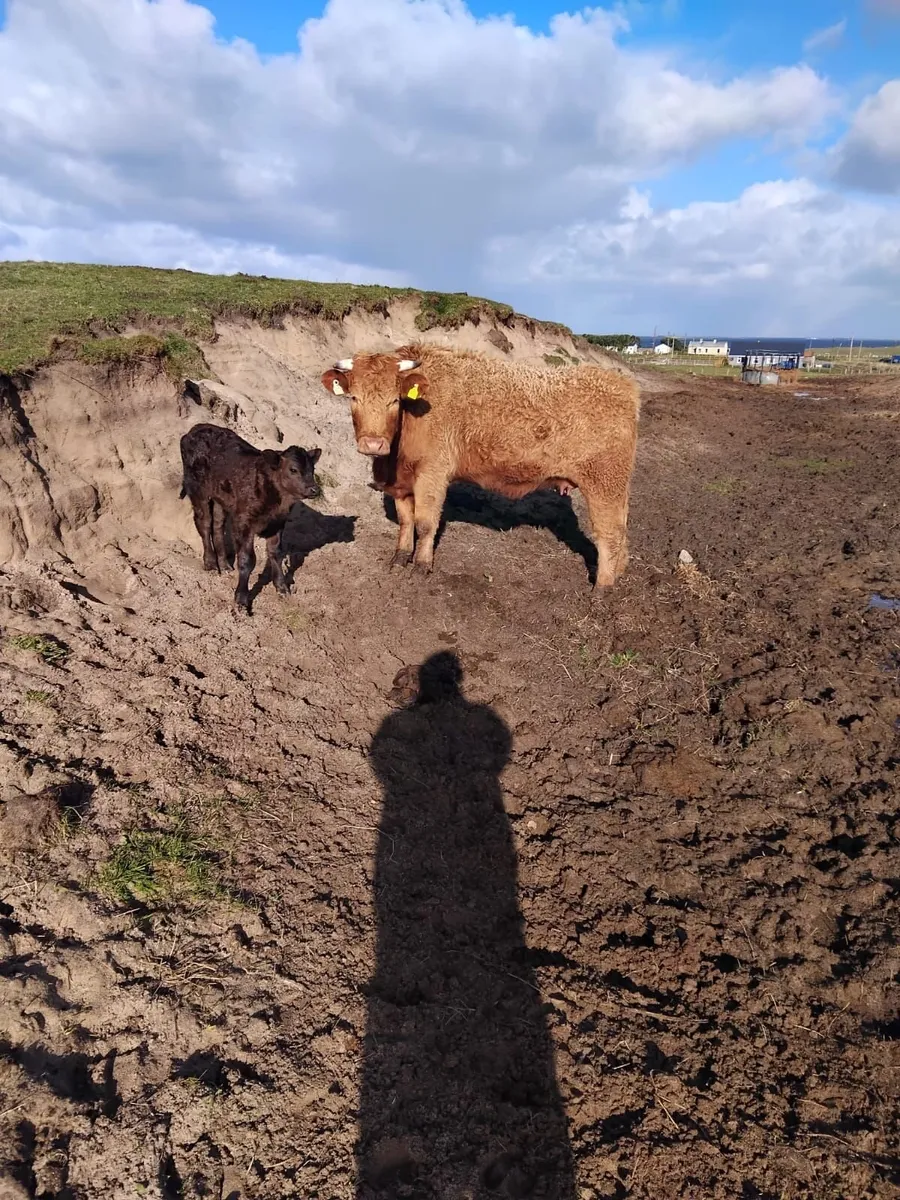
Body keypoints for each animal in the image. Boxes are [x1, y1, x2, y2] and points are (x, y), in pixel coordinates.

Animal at [179, 422, 321, 613]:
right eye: (293, 469)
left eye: (312, 470)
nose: (314, 489)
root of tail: (195, 429)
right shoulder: (244, 521)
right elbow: (247, 560)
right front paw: (241, 600)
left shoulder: (277, 523)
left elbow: (276, 553)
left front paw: (282, 588)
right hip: (198, 490)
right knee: (204, 523)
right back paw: (210, 564)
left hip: (221, 498)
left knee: (218, 526)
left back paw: (224, 565)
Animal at [321, 345, 639, 590]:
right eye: (354, 397)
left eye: (394, 401)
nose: (373, 444)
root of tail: (621, 384)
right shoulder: (401, 483)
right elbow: (405, 521)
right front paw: (400, 557)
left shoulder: (432, 474)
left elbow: (425, 523)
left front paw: (421, 565)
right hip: (616, 486)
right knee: (621, 529)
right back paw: (619, 572)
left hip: (603, 484)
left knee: (609, 533)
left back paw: (602, 587)